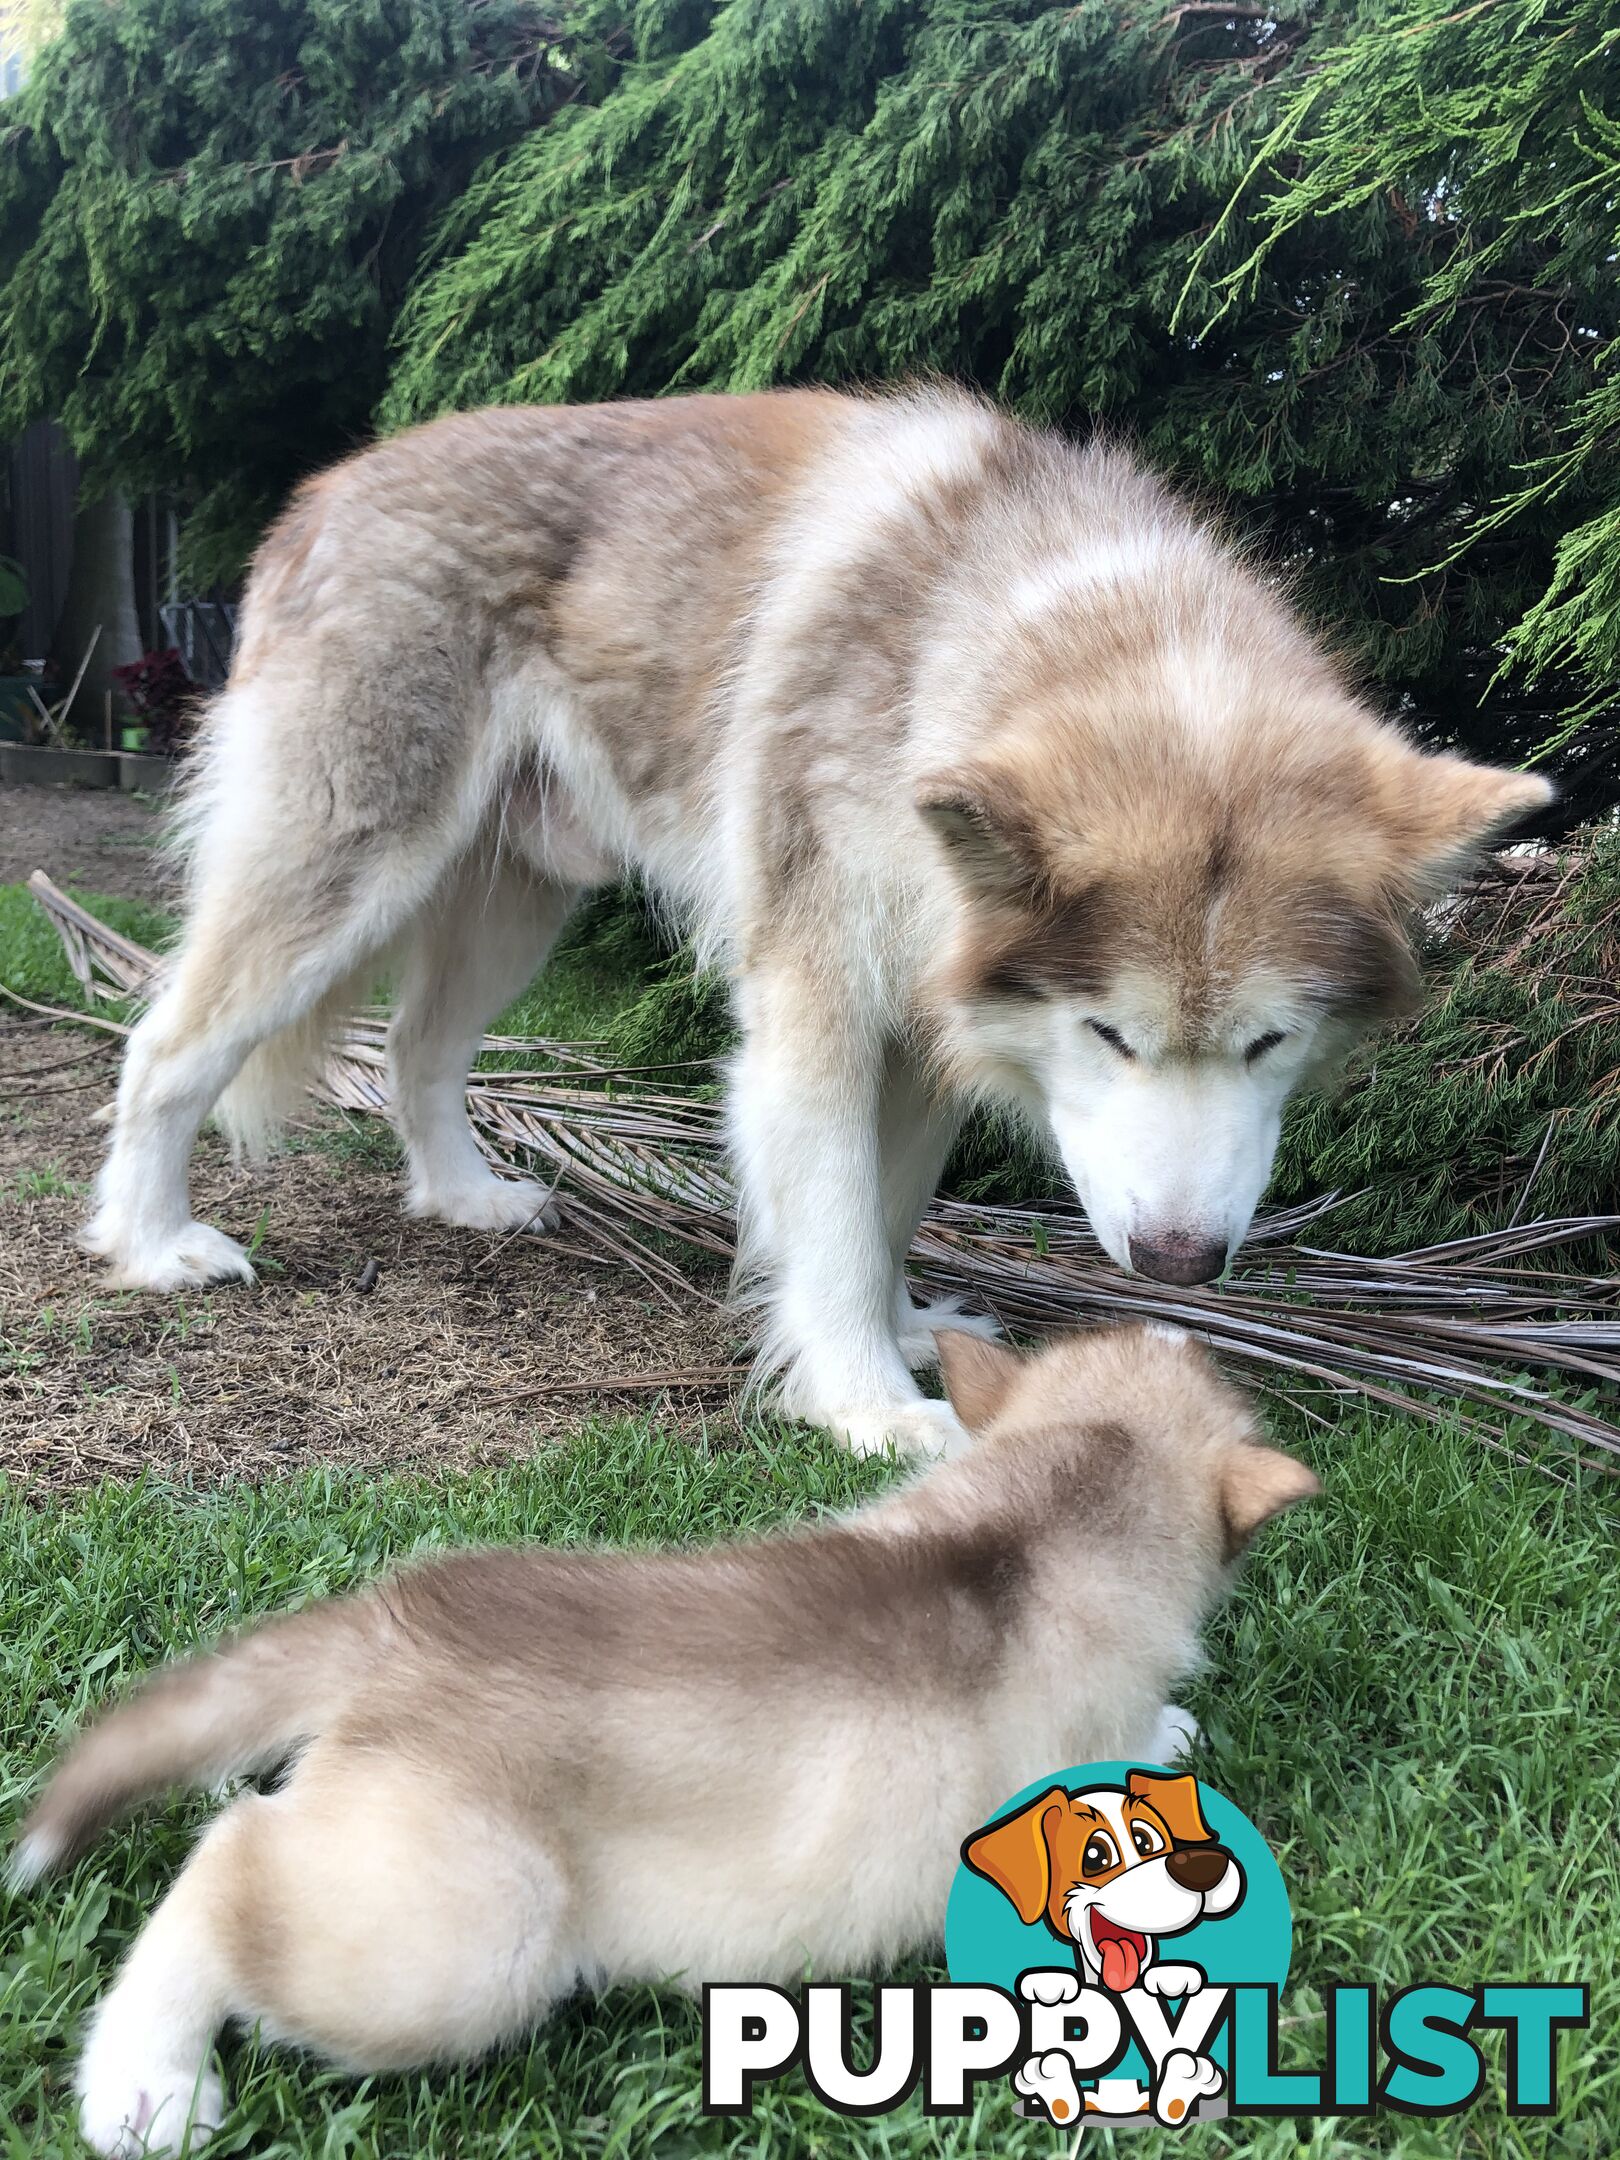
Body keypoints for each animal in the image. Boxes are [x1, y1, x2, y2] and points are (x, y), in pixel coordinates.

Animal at [82, 388, 1555, 1451]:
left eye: (1269, 1044)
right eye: (1110, 1035)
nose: (1180, 1265)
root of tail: (329, 486)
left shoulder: (932, 1025)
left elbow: (886, 1213)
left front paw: (898, 1337)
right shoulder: (818, 1018)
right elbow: (838, 1219)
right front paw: (868, 1408)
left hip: (511, 913)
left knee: (415, 1052)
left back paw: (461, 1197)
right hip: (342, 874)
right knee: (164, 1049)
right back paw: (151, 1246)